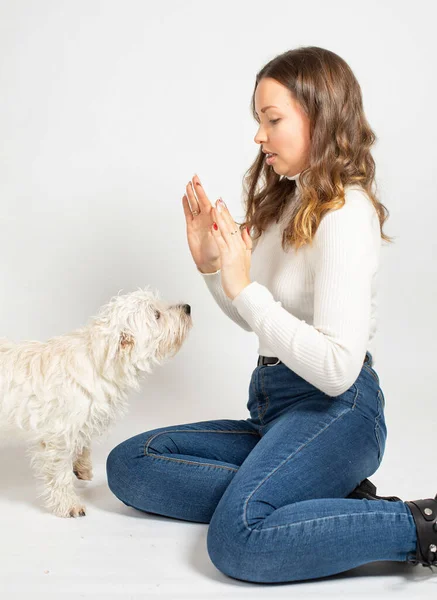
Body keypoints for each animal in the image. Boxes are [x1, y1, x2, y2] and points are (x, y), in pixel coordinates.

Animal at [0, 288, 192, 516]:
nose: (187, 308)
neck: (99, 361)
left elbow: (83, 442)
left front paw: (81, 466)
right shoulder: (59, 434)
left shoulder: (84, 417)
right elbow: (59, 473)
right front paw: (68, 503)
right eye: (157, 315)